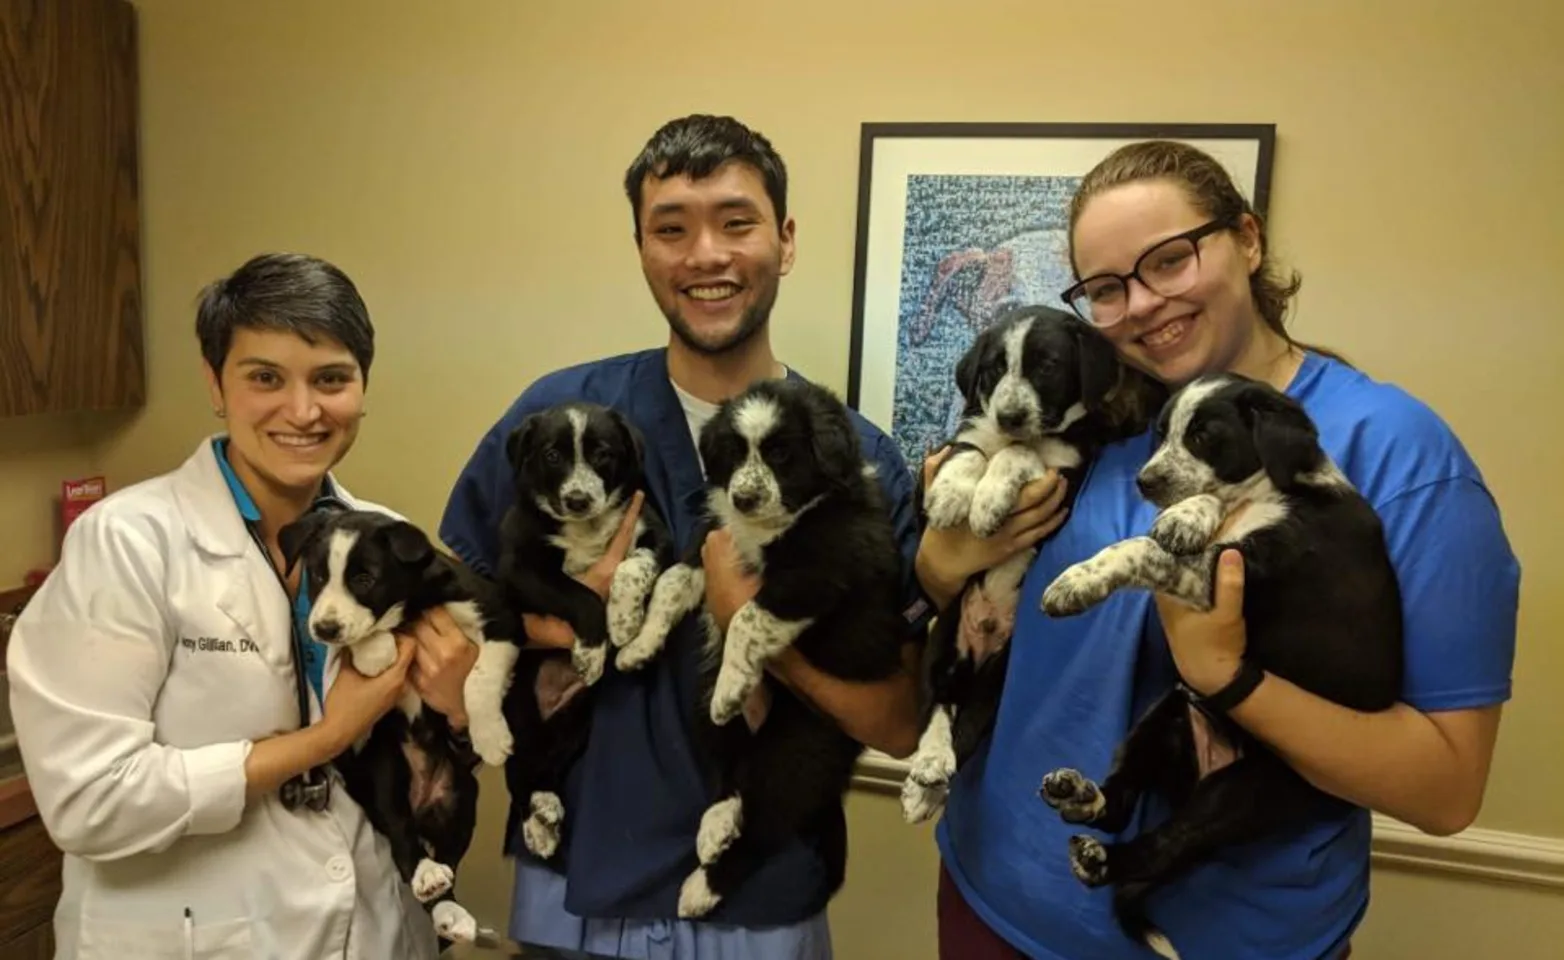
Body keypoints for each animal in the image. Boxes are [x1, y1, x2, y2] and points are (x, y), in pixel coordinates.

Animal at [279, 512, 525, 950]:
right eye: (319, 575)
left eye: (365, 578)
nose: (324, 628)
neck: (410, 607)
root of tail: (423, 806)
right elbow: (363, 643)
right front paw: (377, 652)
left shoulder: (500, 618)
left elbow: (478, 678)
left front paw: (491, 738)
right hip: (386, 766)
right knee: (402, 837)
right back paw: (427, 877)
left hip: (462, 795)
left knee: (448, 857)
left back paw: (450, 910)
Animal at [494, 403, 678, 863]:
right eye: (552, 455)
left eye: (602, 454)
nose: (578, 500)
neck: (586, 529)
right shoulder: (521, 568)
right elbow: (581, 594)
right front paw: (593, 651)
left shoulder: (654, 533)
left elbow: (633, 566)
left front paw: (625, 619)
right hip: (516, 711)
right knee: (518, 772)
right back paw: (536, 825)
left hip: (576, 725)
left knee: (545, 764)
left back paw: (547, 807)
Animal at [666, 379, 913, 919]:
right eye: (735, 452)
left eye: (781, 454)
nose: (743, 497)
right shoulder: (716, 535)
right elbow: (675, 574)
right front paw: (635, 633)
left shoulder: (818, 570)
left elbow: (746, 616)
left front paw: (733, 683)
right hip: (706, 716)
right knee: (735, 774)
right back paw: (716, 822)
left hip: (797, 747)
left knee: (766, 822)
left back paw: (701, 888)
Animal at [907, 308, 1163, 825]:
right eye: (993, 369)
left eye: (1047, 366)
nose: (1010, 416)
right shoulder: (962, 439)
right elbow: (970, 451)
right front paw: (953, 496)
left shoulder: (1064, 476)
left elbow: (1016, 454)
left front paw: (989, 499)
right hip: (942, 642)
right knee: (937, 706)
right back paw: (925, 767)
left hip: (997, 679)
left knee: (965, 733)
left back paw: (928, 783)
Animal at [1038, 372, 1407, 956]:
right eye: (1161, 432)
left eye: (1205, 437)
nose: (1145, 482)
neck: (1277, 491)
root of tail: (1197, 774)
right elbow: (1182, 520)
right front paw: (1186, 517)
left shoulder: (1227, 572)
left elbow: (1141, 547)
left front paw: (1076, 582)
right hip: (1162, 718)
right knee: (1118, 803)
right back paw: (1078, 794)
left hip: (1241, 794)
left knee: (1157, 847)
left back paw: (1101, 859)